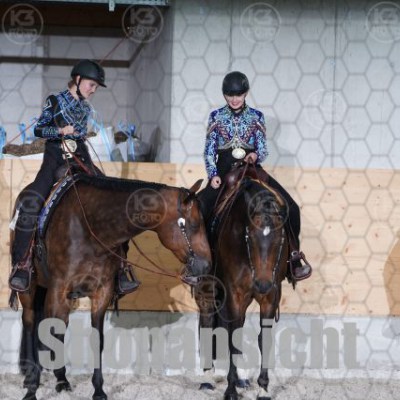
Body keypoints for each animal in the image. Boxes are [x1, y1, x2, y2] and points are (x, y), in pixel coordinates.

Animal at [11, 173, 212, 400]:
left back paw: (61, 378)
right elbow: (51, 332)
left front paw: (98, 390)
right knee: (29, 322)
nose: (206, 265)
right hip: (29, 289)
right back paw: (31, 377)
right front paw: (32, 390)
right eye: (194, 224)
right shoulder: (58, 291)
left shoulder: (102, 292)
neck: (91, 227)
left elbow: (96, 339)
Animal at [195, 171, 289, 400]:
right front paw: (230, 390)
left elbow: (265, 339)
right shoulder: (234, 294)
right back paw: (208, 377)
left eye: (279, 239)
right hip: (207, 287)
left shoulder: (271, 295)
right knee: (208, 318)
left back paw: (240, 378)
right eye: (250, 236)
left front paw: (263, 388)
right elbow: (234, 337)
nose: (262, 283)